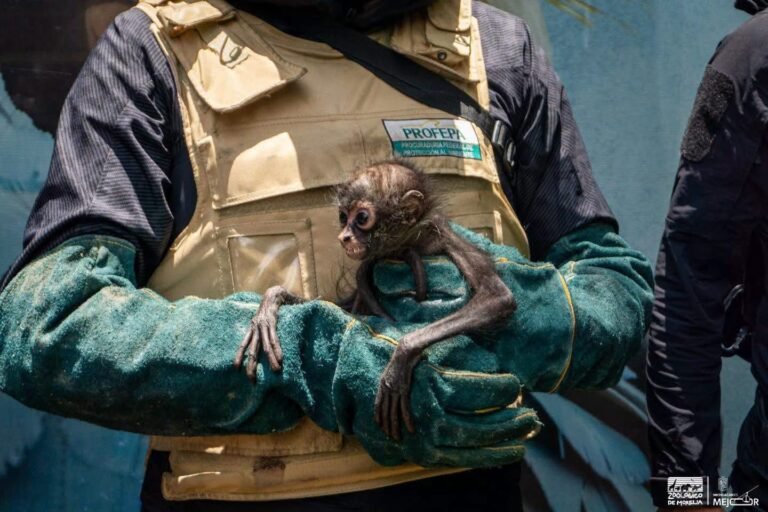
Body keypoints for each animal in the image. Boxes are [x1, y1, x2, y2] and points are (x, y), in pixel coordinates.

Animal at [234, 160, 517, 440]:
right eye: (343, 217)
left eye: (361, 218)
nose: (344, 237)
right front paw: (269, 306)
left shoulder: (444, 237)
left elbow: (498, 298)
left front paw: (400, 361)